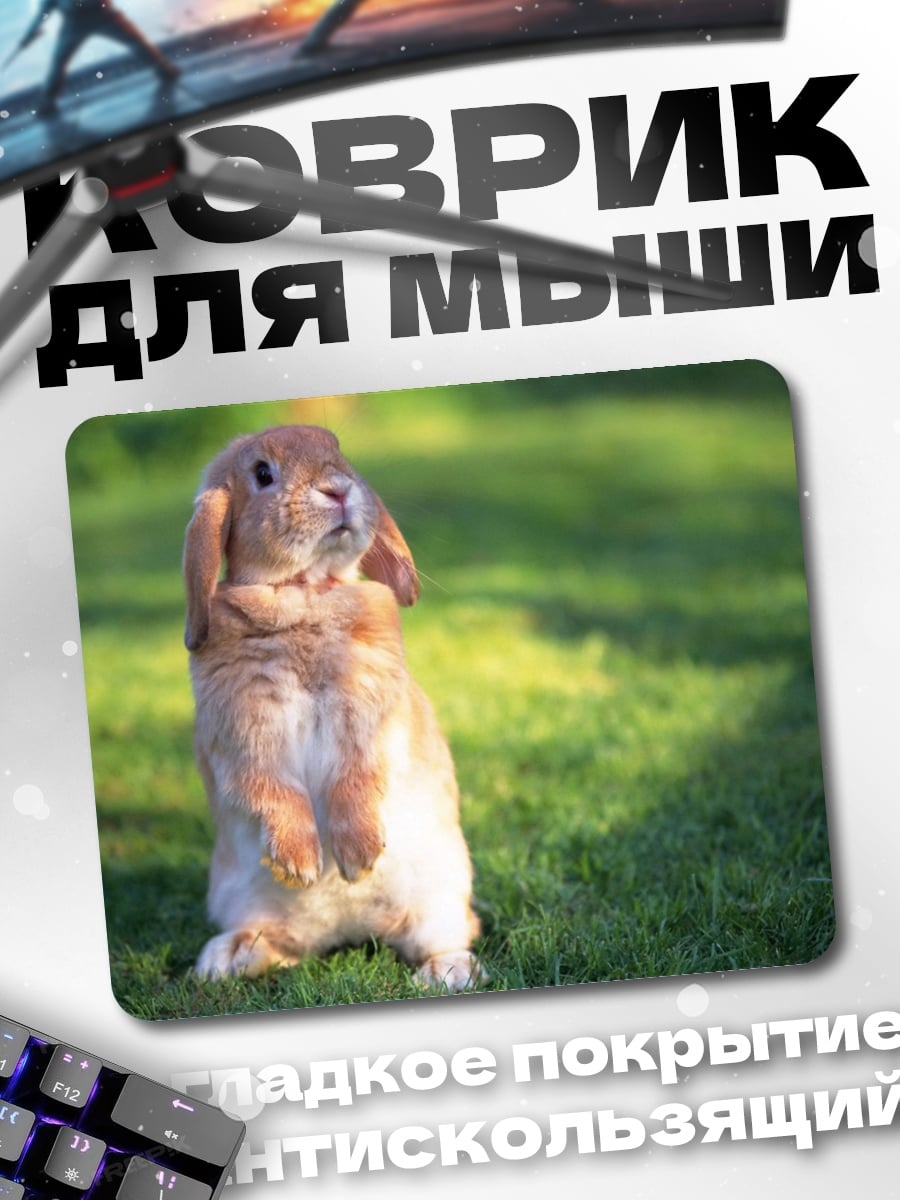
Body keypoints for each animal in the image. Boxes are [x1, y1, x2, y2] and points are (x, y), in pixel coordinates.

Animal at [183, 423, 483, 991]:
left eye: (338, 451)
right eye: (262, 473)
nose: (338, 489)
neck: (303, 593)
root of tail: (346, 930)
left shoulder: (369, 720)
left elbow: (356, 779)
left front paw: (360, 857)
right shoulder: (243, 735)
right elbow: (273, 790)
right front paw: (300, 865)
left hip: (440, 894)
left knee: (446, 934)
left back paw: (447, 972)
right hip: (240, 898)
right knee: (279, 945)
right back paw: (225, 958)